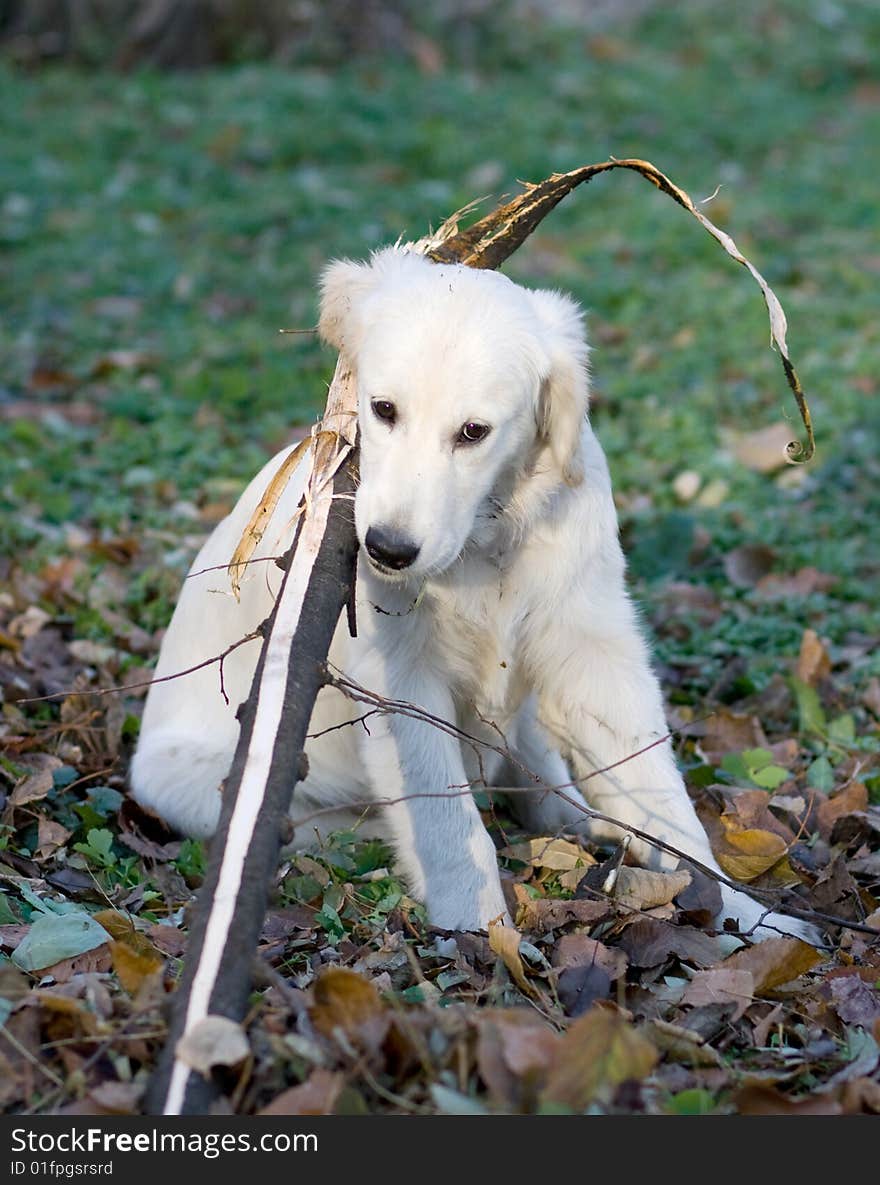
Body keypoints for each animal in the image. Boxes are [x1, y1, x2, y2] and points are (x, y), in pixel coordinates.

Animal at [129, 245, 810, 938]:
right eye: (383, 410)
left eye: (473, 432)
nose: (387, 550)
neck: (485, 541)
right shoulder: (397, 678)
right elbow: (444, 815)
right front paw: (477, 925)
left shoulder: (595, 653)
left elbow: (659, 795)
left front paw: (746, 916)